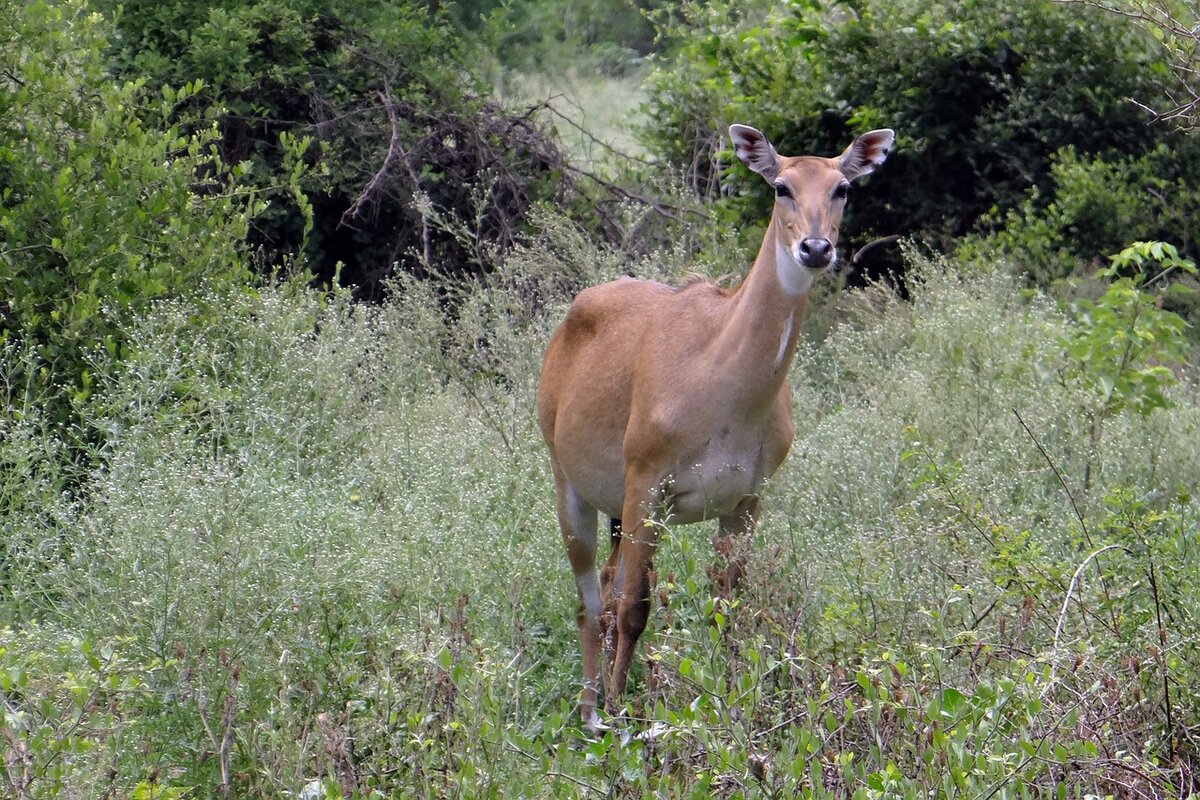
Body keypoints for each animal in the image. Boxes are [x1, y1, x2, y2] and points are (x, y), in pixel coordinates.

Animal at [535, 122, 892, 729]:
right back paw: (591, 711)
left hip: (618, 511)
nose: (816, 248)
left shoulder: (745, 499)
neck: (720, 382)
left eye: (842, 187)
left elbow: (729, 604)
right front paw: (621, 714)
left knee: (605, 586)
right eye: (781, 186)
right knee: (591, 600)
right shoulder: (646, 484)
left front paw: (732, 697)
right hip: (572, 484)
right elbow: (636, 607)